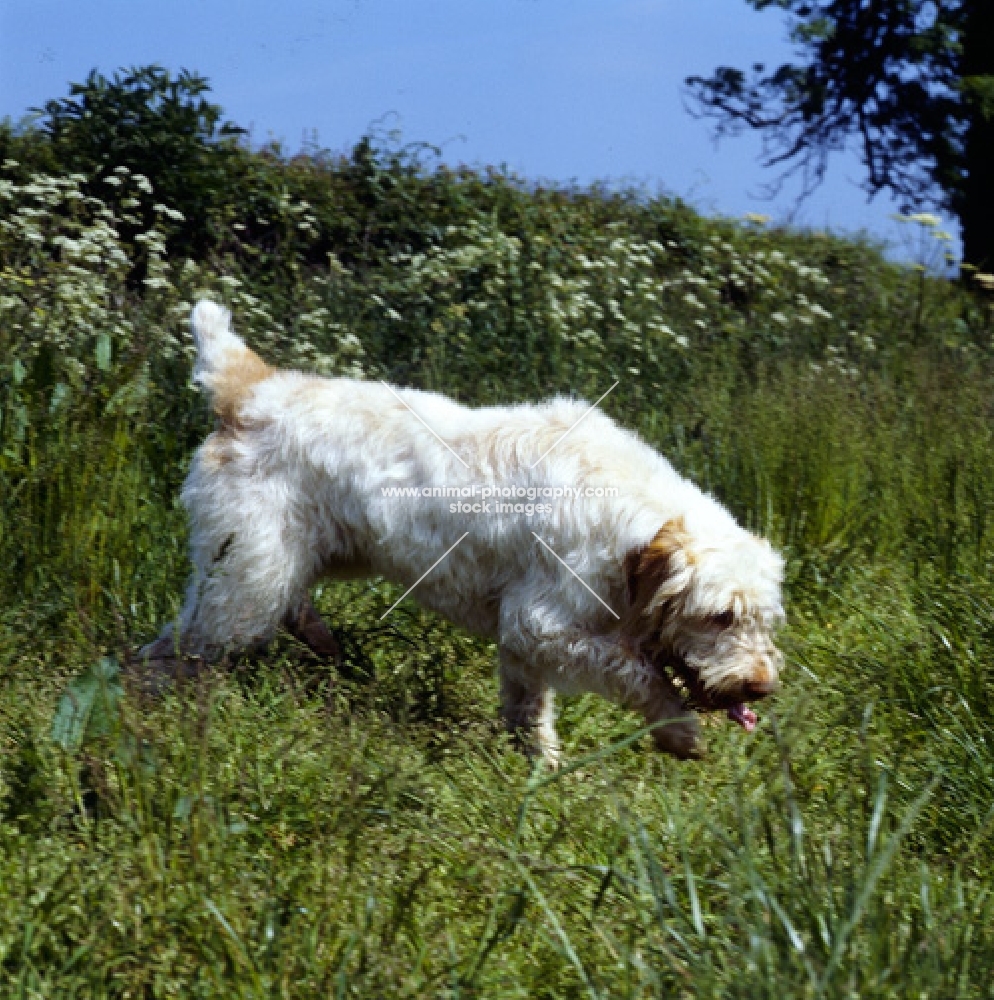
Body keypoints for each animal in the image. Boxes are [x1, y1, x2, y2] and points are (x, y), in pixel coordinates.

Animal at [145, 300, 784, 760]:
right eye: (719, 617)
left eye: (762, 620)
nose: (760, 688)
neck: (632, 526)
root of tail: (251, 390)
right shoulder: (541, 622)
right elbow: (639, 672)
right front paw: (677, 731)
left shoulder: (526, 641)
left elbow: (529, 709)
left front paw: (541, 768)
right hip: (244, 585)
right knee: (175, 648)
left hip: (279, 567)